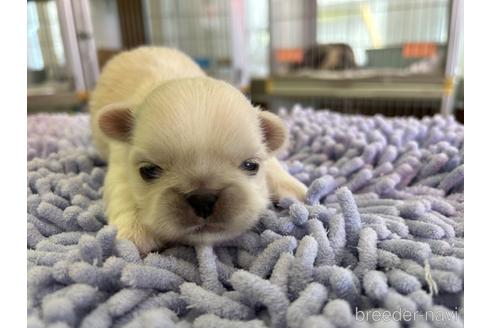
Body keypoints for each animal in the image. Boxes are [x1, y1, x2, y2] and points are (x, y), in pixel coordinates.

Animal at [88, 46, 304, 252]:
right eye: (148, 171)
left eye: (251, 166)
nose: (203, 199)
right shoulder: (119, 160)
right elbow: (122, 188)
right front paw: (135, 230)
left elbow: (273, 163)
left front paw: (293, 188)